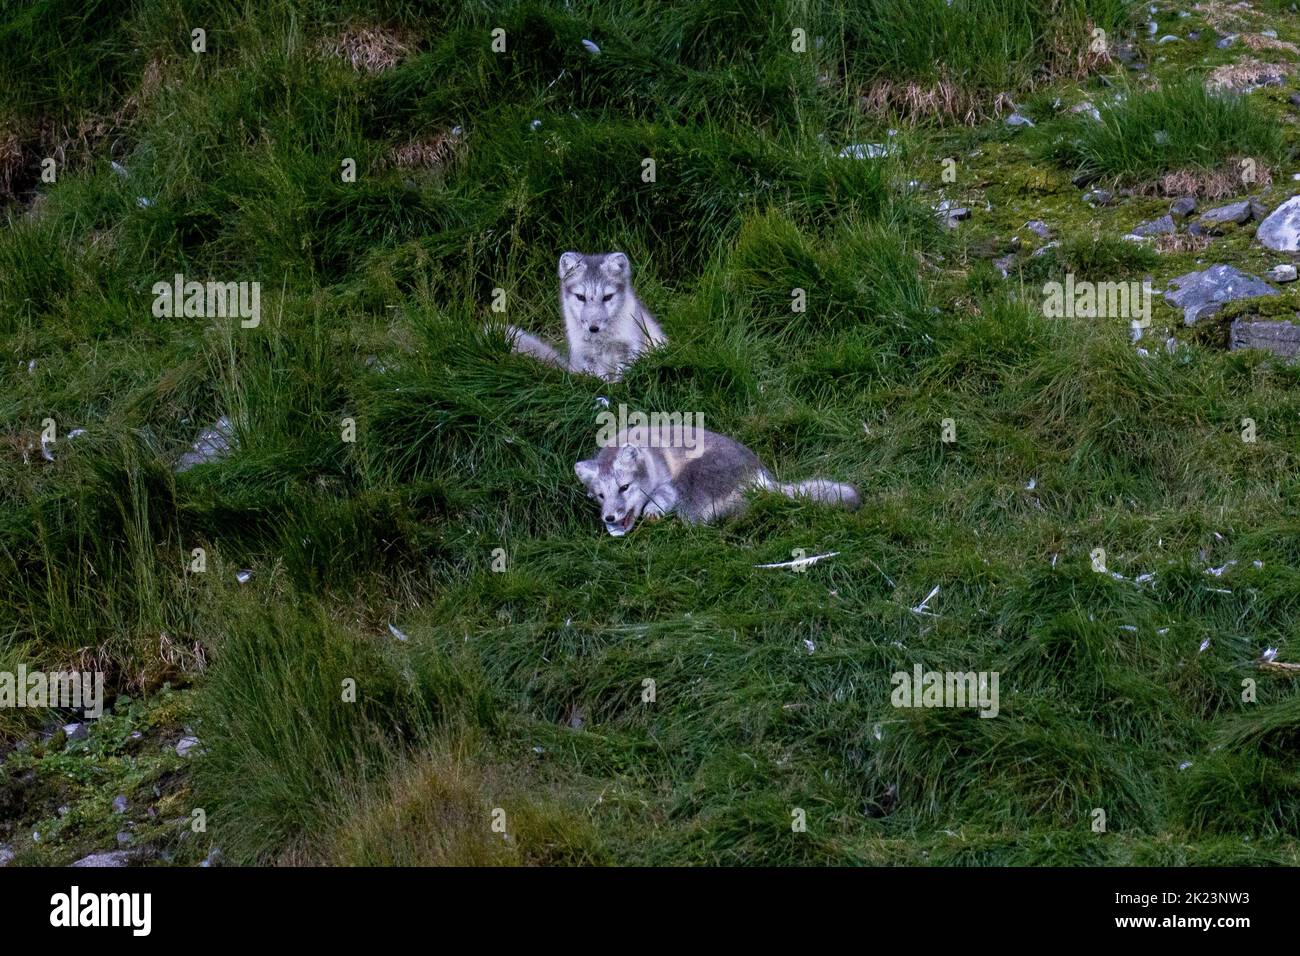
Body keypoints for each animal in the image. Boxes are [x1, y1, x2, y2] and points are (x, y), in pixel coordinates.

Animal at [496, 252, 660, 382]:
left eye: (607, 297)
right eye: (581, 297)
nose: (593, 328)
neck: (600, 340)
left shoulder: (628, 348)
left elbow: (622, 374)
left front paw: (616, 387)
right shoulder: (586, 355)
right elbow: (599, 377)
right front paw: (603, 386)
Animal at [574, 421, 857, 535]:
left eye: (624, 487)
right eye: (601, 496)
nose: (610, 517)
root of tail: (762, 479)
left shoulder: (668, 480)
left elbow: (662, 494)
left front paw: (653, 511)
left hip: (697, 477)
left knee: (696, 523)